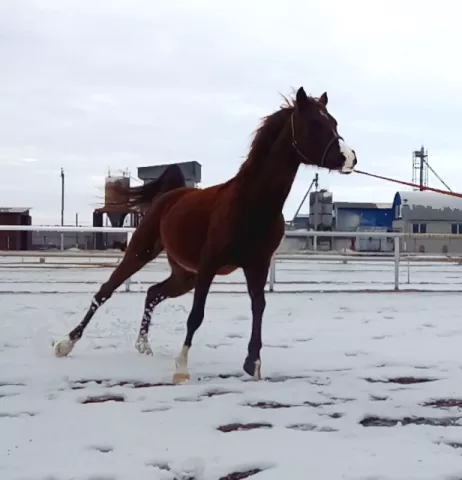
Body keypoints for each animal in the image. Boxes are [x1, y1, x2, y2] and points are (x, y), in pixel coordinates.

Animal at [53, 87, 357, 384]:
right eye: (315, 123)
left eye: (334, 122)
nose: (351, 158)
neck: (251, 203)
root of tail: (168, 196)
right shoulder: (210, 264)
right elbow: (196, 315)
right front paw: (181, 369)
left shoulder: (257, 266)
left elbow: (258, 307)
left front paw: (253, 363)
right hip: (142, 252)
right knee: (105, 291)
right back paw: (67, 343)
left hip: (184, 275)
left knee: (152, 293)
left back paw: (143, 346)